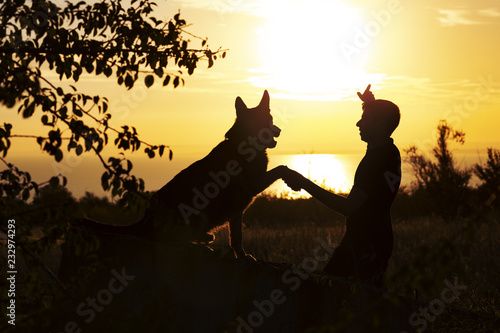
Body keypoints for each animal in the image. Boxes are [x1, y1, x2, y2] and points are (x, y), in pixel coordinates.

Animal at [82, 90, 286, 256]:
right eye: (269, 121)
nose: (279, 130)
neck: (243, 143)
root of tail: (144, 218)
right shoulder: (253, 186)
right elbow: (281, 168)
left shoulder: (236, 212)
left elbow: (237, 238)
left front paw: (242, 256)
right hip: (197, 214)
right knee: (174, 243)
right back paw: (202, 244)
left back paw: (204, 239)